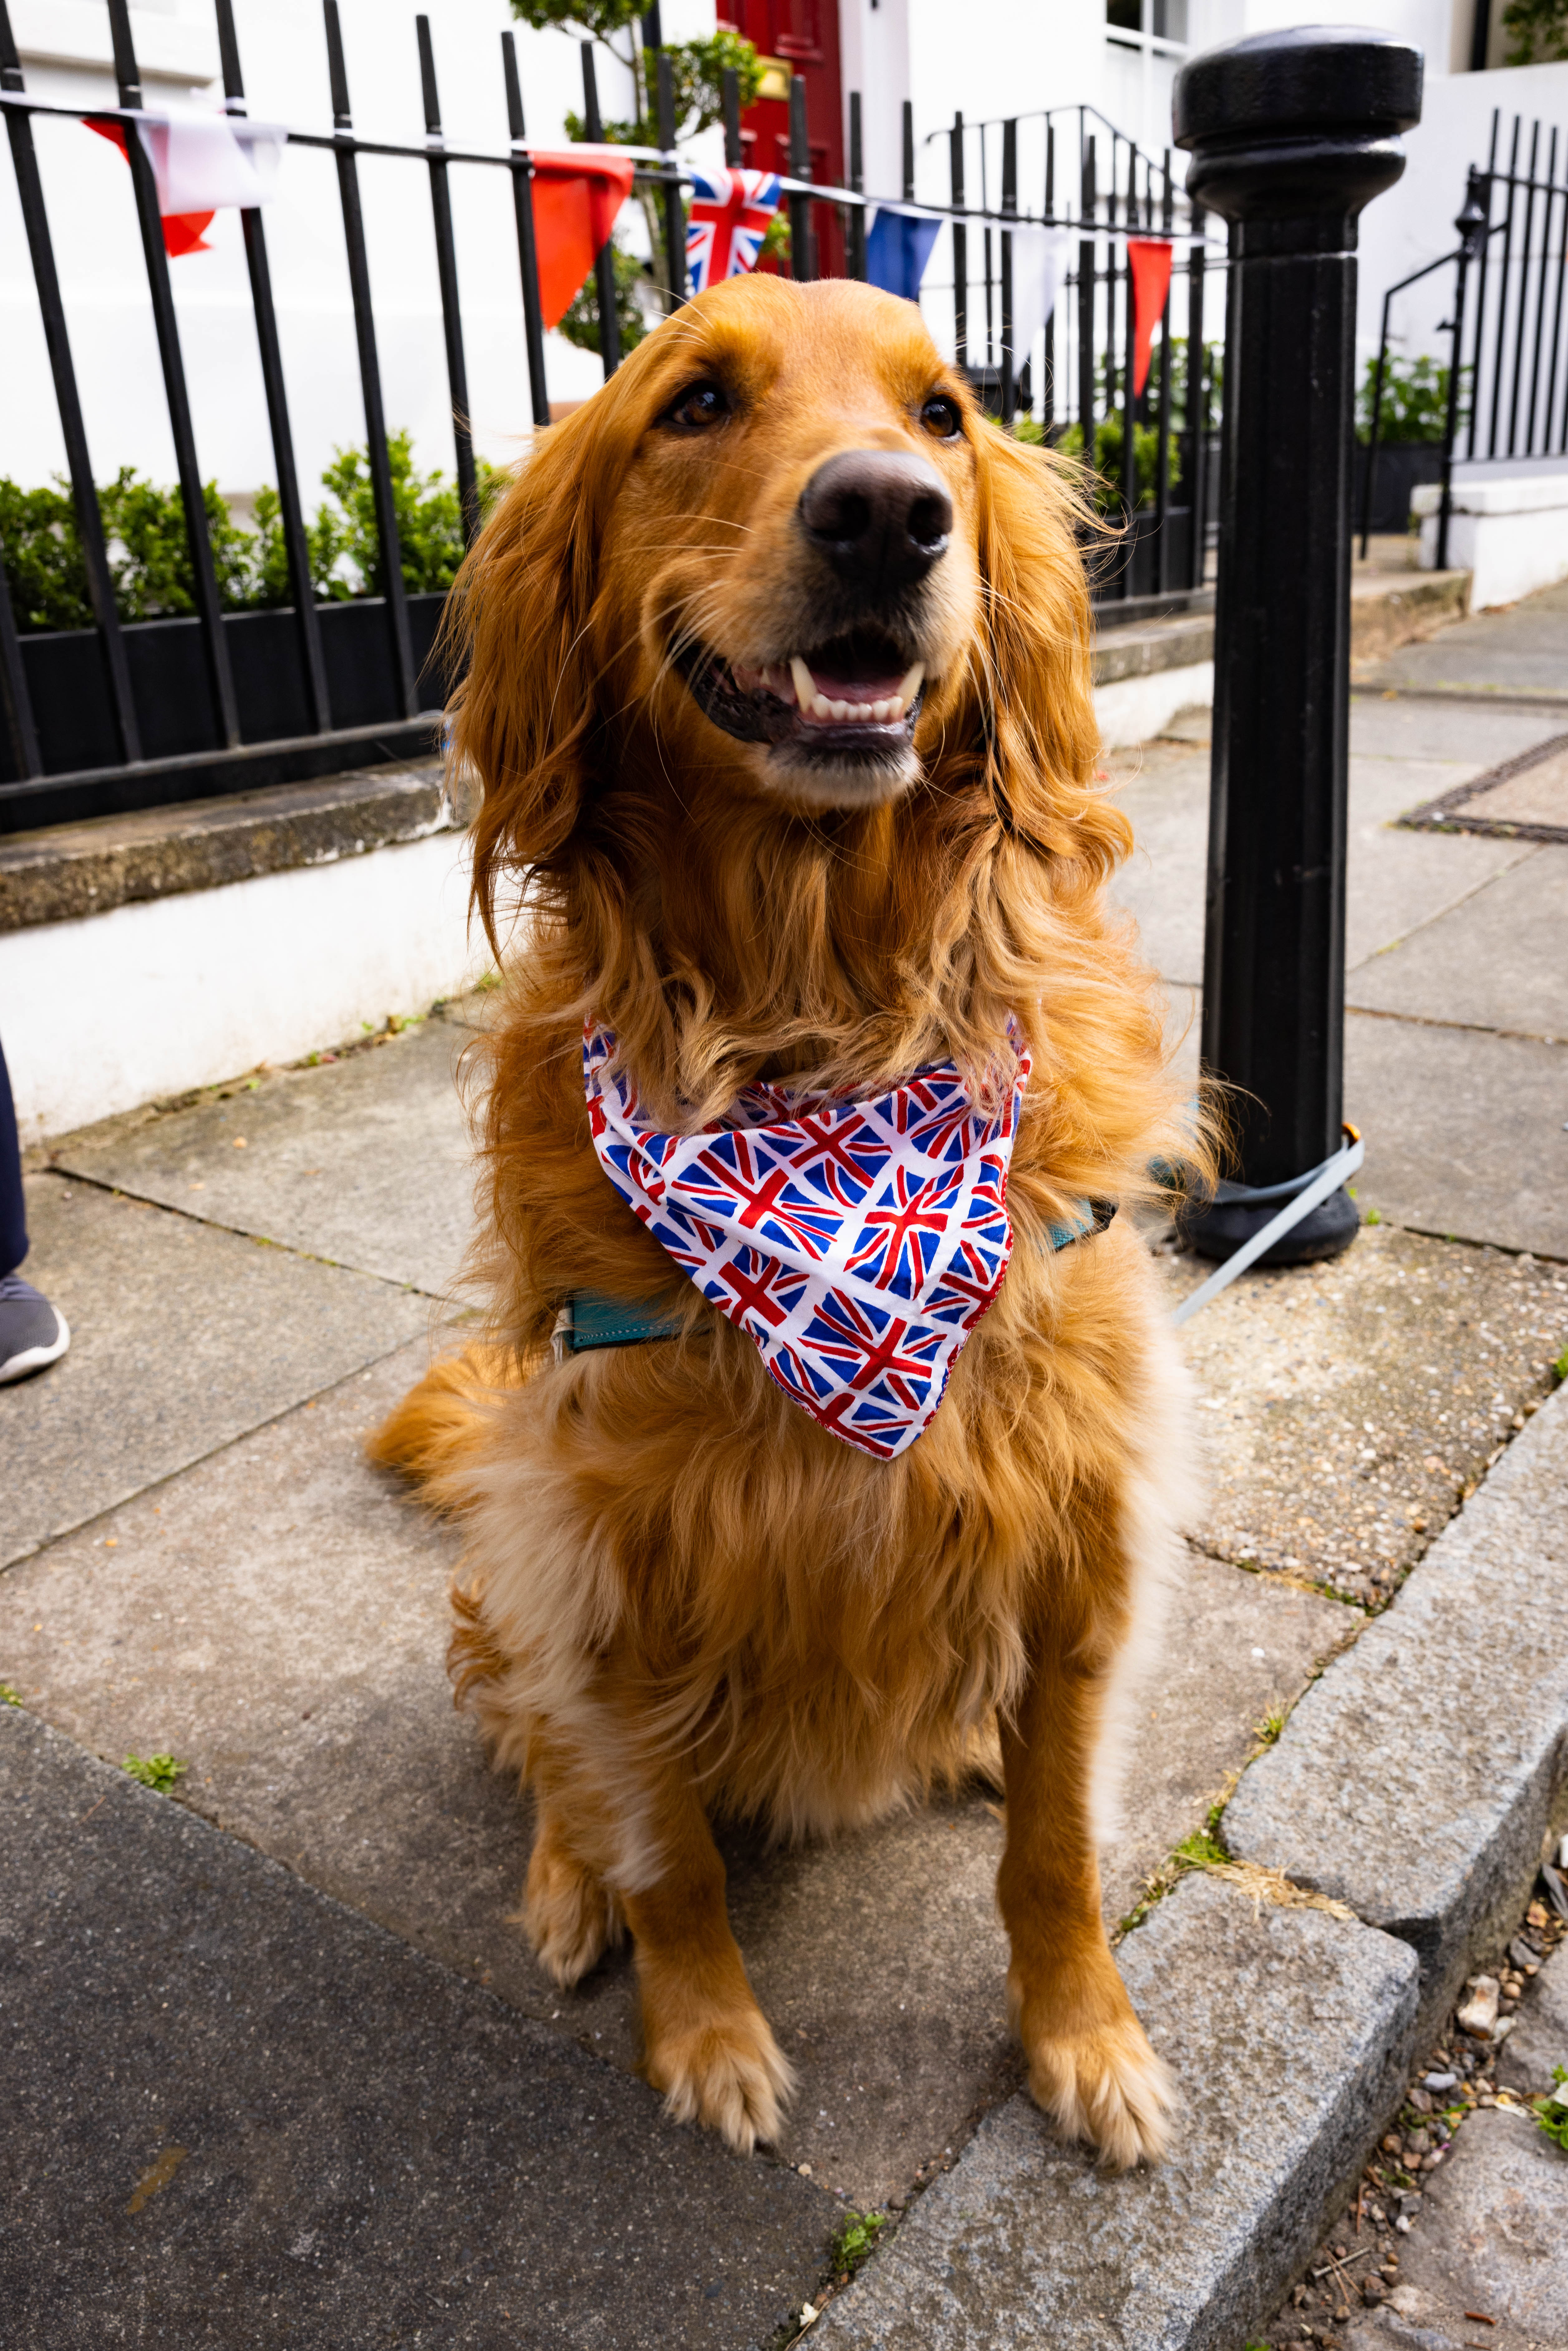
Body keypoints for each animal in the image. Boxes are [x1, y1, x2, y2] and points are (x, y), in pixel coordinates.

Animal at [371, 270, 1203, 2163]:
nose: (886, 513)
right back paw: (565, 1887)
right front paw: (706, 2035)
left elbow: (1058, 1849)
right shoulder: (603, 1550)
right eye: (694, 403)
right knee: (546, 1748)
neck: (824, 1042)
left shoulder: (1085, 1527)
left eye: (945, 415)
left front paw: (1088, 2039)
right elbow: (668, 1846)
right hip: (510, 1554)